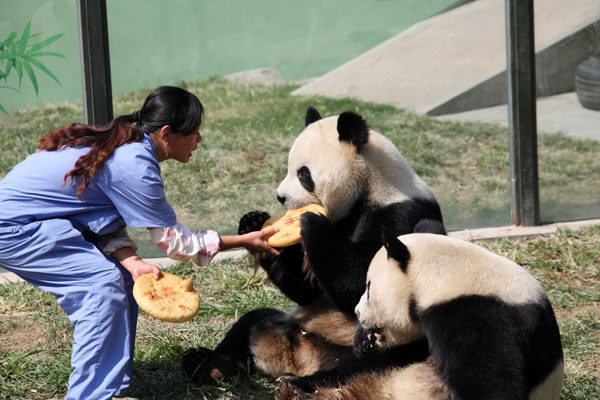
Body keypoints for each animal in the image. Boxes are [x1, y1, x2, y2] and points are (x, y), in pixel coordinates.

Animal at [180, 106, 448, 384]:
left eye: (303, 173)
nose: (280, 197)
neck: (370, 185)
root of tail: (301, 359)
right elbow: (307, 290)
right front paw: (253, 223)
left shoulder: (401, 213)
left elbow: (360, 281)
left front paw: (311, 222)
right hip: (290, 322)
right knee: (252, 321)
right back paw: (209, 363)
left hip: (388, 343)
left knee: (363, 367)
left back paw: (302, 383)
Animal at [274, 231, 564, 400]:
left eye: (368, 288)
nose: (357, 313)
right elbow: (383, 359)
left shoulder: (477, 314)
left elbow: (491, 383)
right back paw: (292, 388)